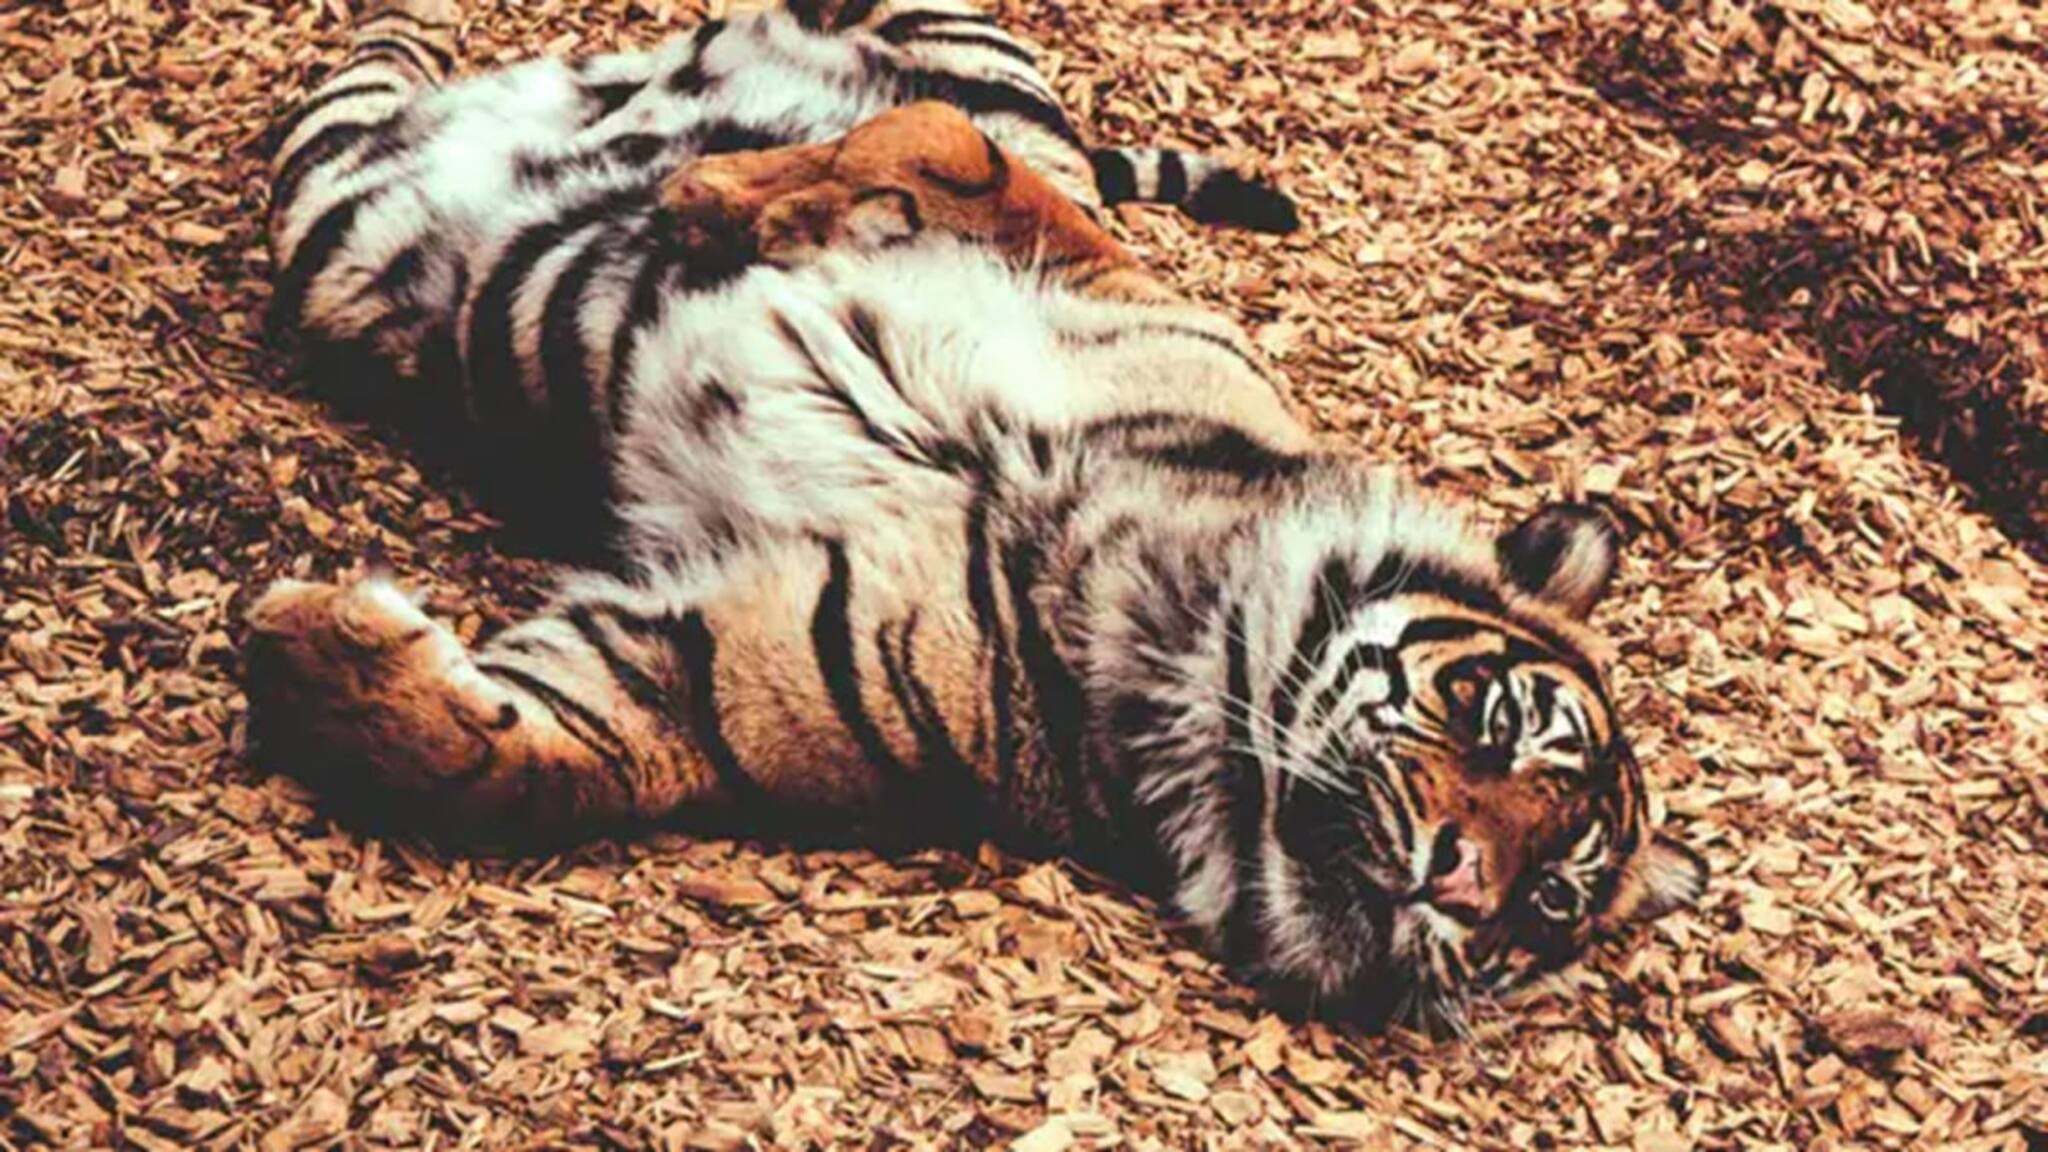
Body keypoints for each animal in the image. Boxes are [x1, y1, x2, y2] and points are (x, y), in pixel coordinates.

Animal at [243, 0, 1708, 1033]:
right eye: (1500, 719)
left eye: (1551, 899)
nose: (1461, 887)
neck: (1161, 612)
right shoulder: (1093, 260)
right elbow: (940, 147)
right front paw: (710, 197)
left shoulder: (721, 666)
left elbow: (524, 758)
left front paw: (326, 646)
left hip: (333, 208)